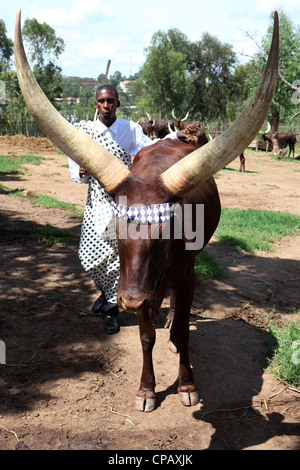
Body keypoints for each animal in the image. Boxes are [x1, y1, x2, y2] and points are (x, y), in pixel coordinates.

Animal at [14, 7, 278, 412]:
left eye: (166, 231)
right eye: (115, 229)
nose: (130, 299)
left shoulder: (186, 275)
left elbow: (184, 330)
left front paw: (186, 385)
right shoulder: (135, 281)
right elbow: (144, 337)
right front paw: (146, 389)